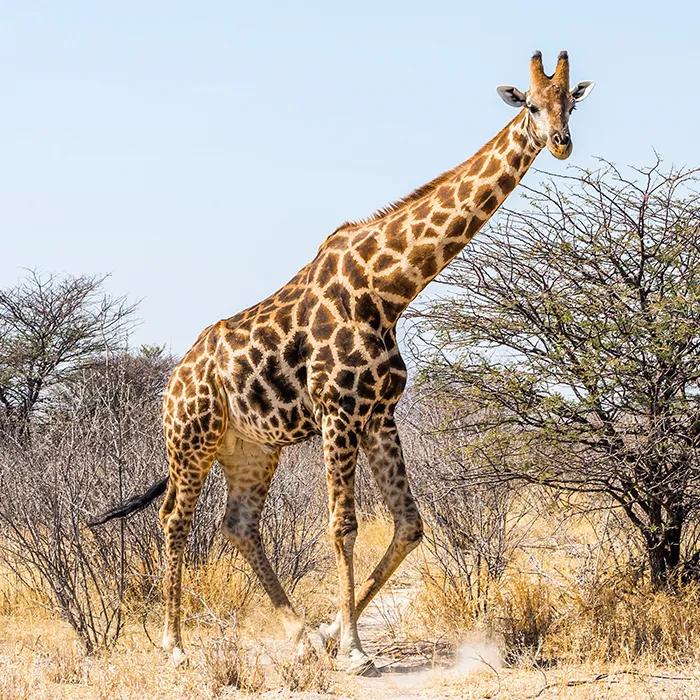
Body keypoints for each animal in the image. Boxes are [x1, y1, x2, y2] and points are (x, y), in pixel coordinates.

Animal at [90, 51, 594, 675]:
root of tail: (174, 380)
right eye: (531, 106)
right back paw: (176, 646)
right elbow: (344, 527)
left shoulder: (378, 414)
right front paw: (353, 650)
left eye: (570, 103)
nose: (561, 143)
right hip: (191, 439)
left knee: (238, 524)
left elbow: (409, 525)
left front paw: (333, 632)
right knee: (174, 520)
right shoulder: (338, 412)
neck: (390, 290)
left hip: (252, 448)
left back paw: (300, 636)